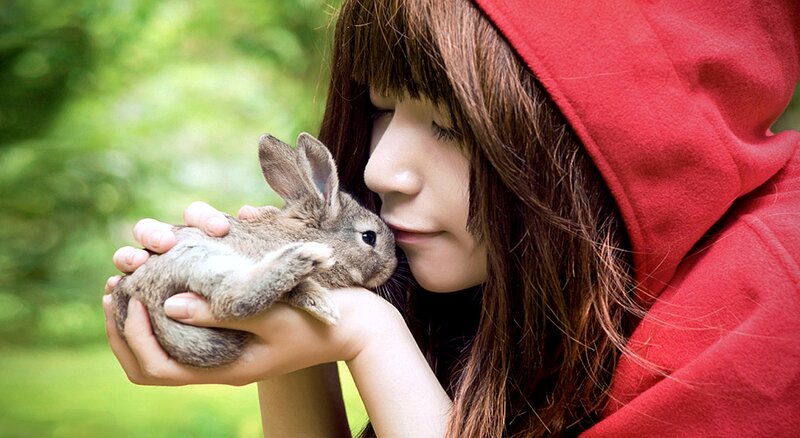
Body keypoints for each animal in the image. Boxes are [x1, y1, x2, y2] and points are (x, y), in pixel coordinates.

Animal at [111, 132, 397, 368]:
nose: (392, 267)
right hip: (203, 257)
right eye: (369, 237)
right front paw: (321, 302)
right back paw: (305, 258)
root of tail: (137, 295)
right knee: (230, 300)